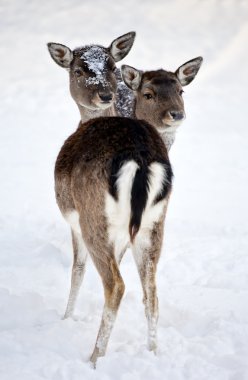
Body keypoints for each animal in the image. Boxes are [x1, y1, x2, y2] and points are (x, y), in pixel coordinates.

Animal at [53, 56, 202, 366]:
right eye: (148, 93)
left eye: (181, 91)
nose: (176, 114)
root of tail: (141, 161)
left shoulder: (75, 222)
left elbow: (77, 270)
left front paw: (66, 318)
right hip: (154, 225)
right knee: (152, 292)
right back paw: (153, 353)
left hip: (94, 217)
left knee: (116, 285)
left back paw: (95, 358)